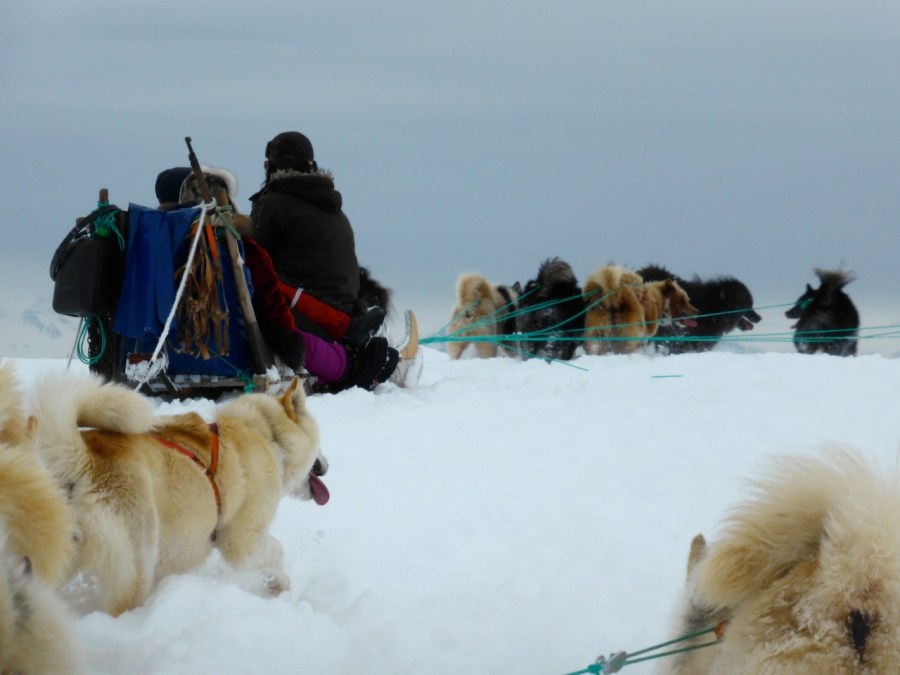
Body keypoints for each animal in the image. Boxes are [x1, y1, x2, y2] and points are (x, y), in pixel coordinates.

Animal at [28, 372, 328, 617]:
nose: (326, 464)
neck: (269, 438)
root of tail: (81, 458)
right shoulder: (239, 543)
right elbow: (274, 551)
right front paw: (279, 584)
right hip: (136, 564)